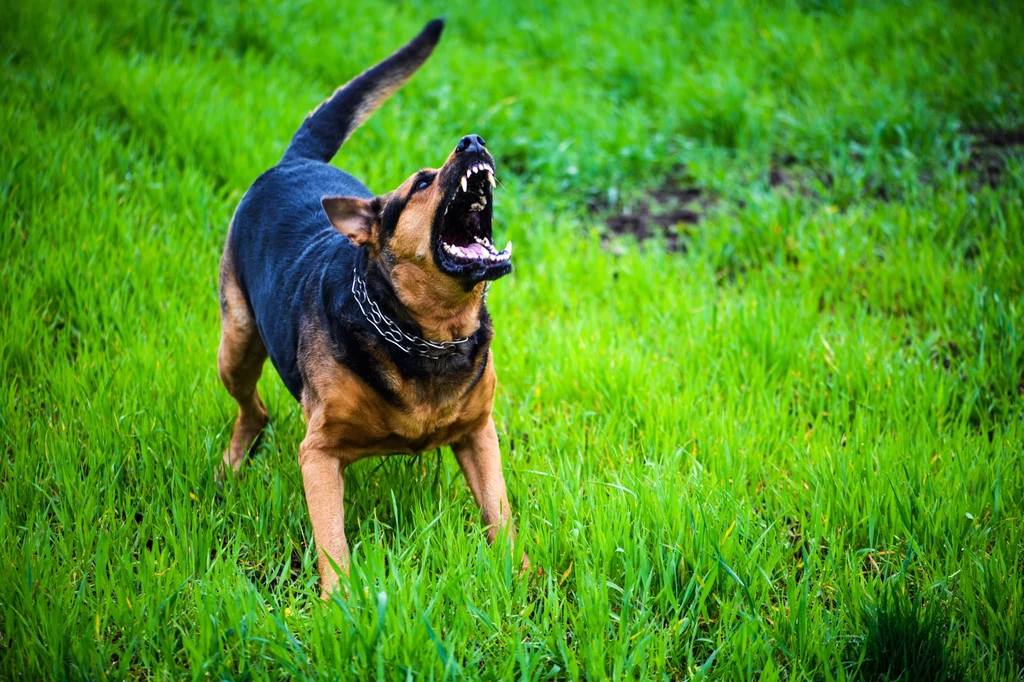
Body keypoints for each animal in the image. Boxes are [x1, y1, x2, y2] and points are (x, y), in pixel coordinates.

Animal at [215, 19, 524, 593]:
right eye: (422, 182)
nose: (472, 140)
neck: (429, 332)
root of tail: (295, 162)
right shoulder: (318, 454)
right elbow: (331, 542)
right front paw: (338, 604)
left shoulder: (478, 432)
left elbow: (501, 514)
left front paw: (524, 578)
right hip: (237, 343)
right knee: (253, 409)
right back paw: (231, 463)